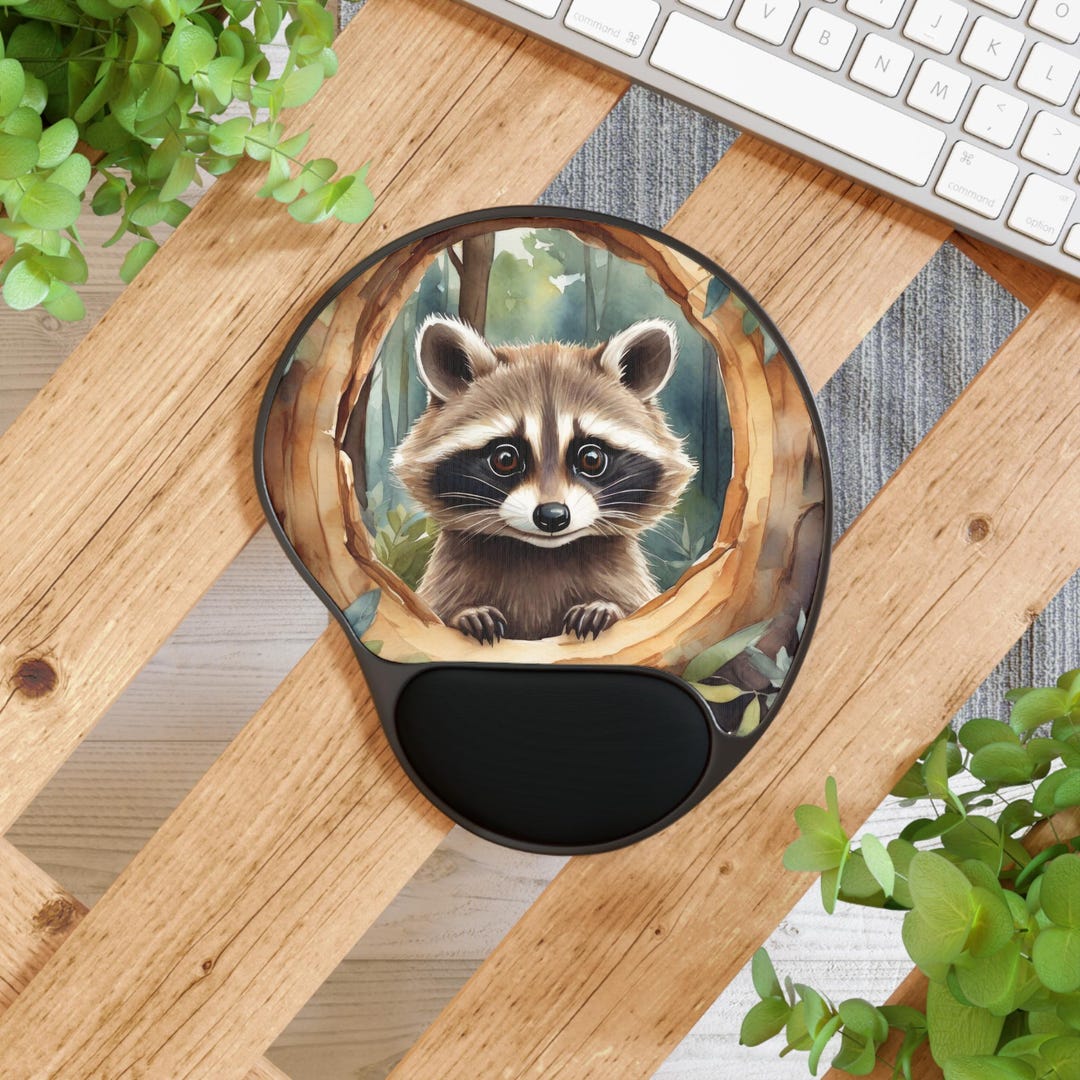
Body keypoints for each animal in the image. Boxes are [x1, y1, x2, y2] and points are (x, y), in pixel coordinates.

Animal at [391, 315, 696, 643]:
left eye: (591, 459)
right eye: (505, 459)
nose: (552, 515)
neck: (539, 552)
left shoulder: (629, 583)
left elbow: (633, 605)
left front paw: (604, 607)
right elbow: (439, 607)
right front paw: (466, 613)